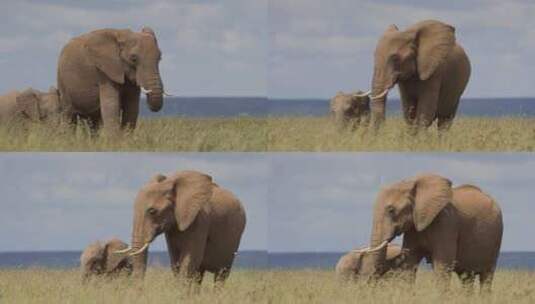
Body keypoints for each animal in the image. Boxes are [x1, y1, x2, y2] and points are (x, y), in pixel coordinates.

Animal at [117, 170, 247, 288]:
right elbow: (176, 263)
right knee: (199, 274)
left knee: (221, 275)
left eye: (152, 211)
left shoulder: (200, 220)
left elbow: (189, 262)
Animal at [360, 175, 502, 294]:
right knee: (467, 278)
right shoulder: (414, 226)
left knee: (486, 277)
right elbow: (409, 262)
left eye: (391, 210)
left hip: (496, 237)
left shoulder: (446, 222)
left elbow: (442, 265)